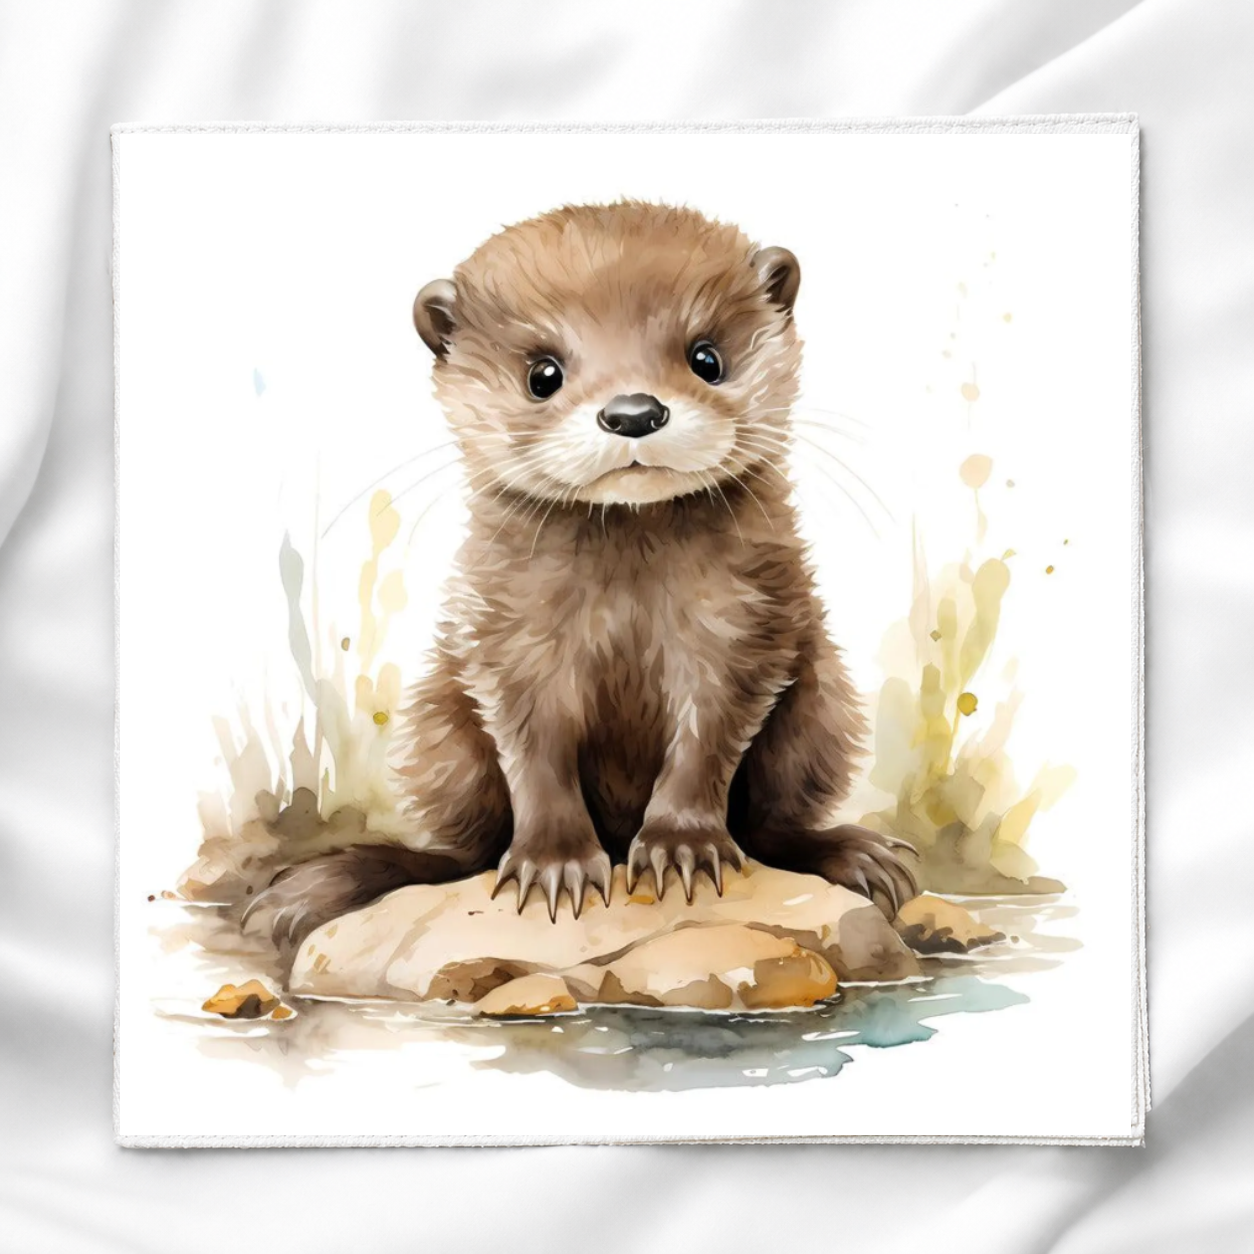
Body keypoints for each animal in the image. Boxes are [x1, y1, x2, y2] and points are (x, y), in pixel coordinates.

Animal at [248, 201, 916, 950]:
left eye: (707, 358)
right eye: (542, 373)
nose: (634, 412)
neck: (630, 601)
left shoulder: (746, 626)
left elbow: (707, 740)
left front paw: (682, 847)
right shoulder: (506, 641)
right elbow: (534, 753)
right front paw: (555, 863)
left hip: (820, 713)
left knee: (775, 824)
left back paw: (857, 854)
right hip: (440, 731)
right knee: (460, 852)